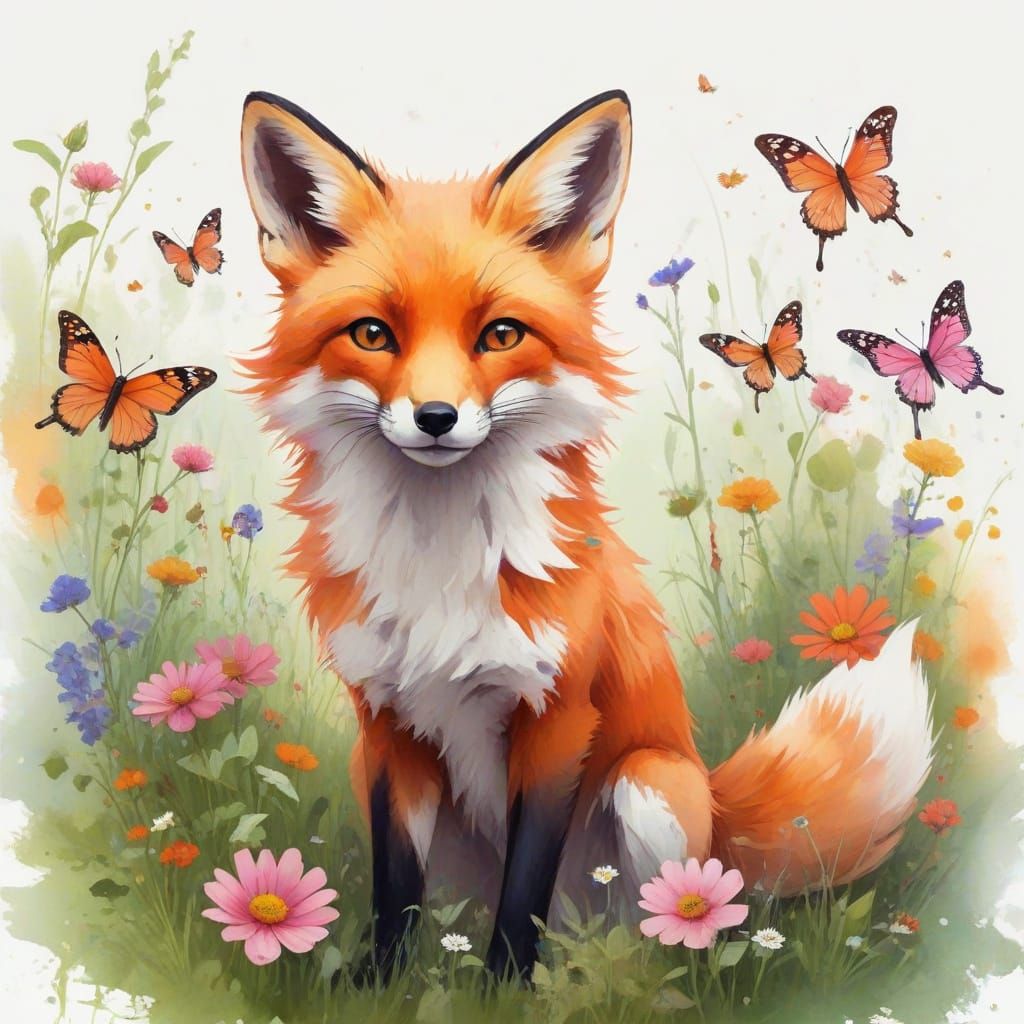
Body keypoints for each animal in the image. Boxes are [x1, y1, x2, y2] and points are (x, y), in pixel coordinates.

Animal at [238, 89, 934, 981]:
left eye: (500, 335)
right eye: (371, 334)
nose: (436, 418)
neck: (443, 566)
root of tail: (721, 808)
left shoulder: (560, 719)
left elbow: (525, 885)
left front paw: (504, 986)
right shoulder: (387, 727)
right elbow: (395, 887)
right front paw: (378, 983)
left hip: (650, 785)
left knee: (678, 920)